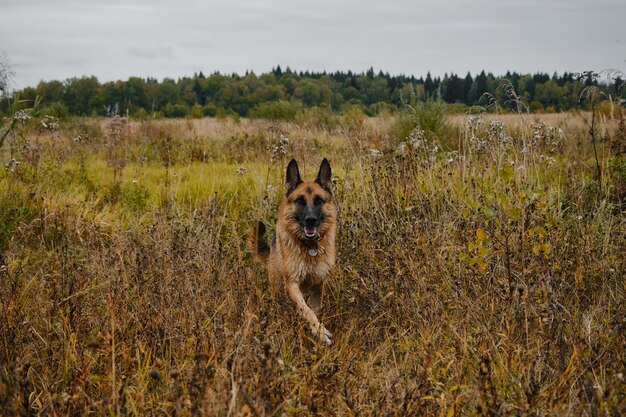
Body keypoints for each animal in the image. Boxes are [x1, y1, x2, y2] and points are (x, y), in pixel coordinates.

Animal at [249, 158, 336, 342]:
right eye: (300, 201)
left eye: (319, 200)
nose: (311, 220)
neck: (309, 247)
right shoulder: (292, 284)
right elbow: (306, 310)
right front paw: (319, 331)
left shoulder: (318, 286)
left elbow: (315, 310)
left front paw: (317, 331)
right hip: (277, 287)